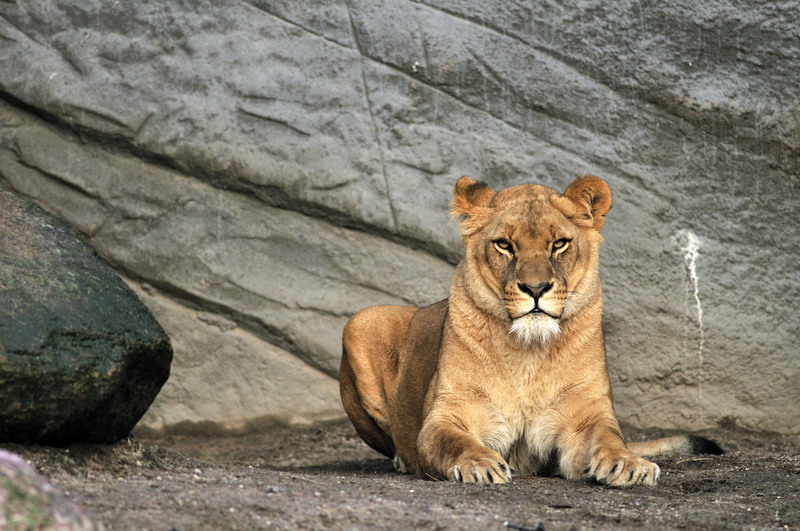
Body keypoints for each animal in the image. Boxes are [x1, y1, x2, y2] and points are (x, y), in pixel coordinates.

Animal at [340, 175, 722, 487]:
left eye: (559, 244)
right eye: (504, 244)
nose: (536, 288)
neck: (528, 351)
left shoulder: (584, 416)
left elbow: (610, 438)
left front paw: (629, 464)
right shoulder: (448, 414)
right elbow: (454, 441)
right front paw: (480, 464)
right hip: (361, 320)